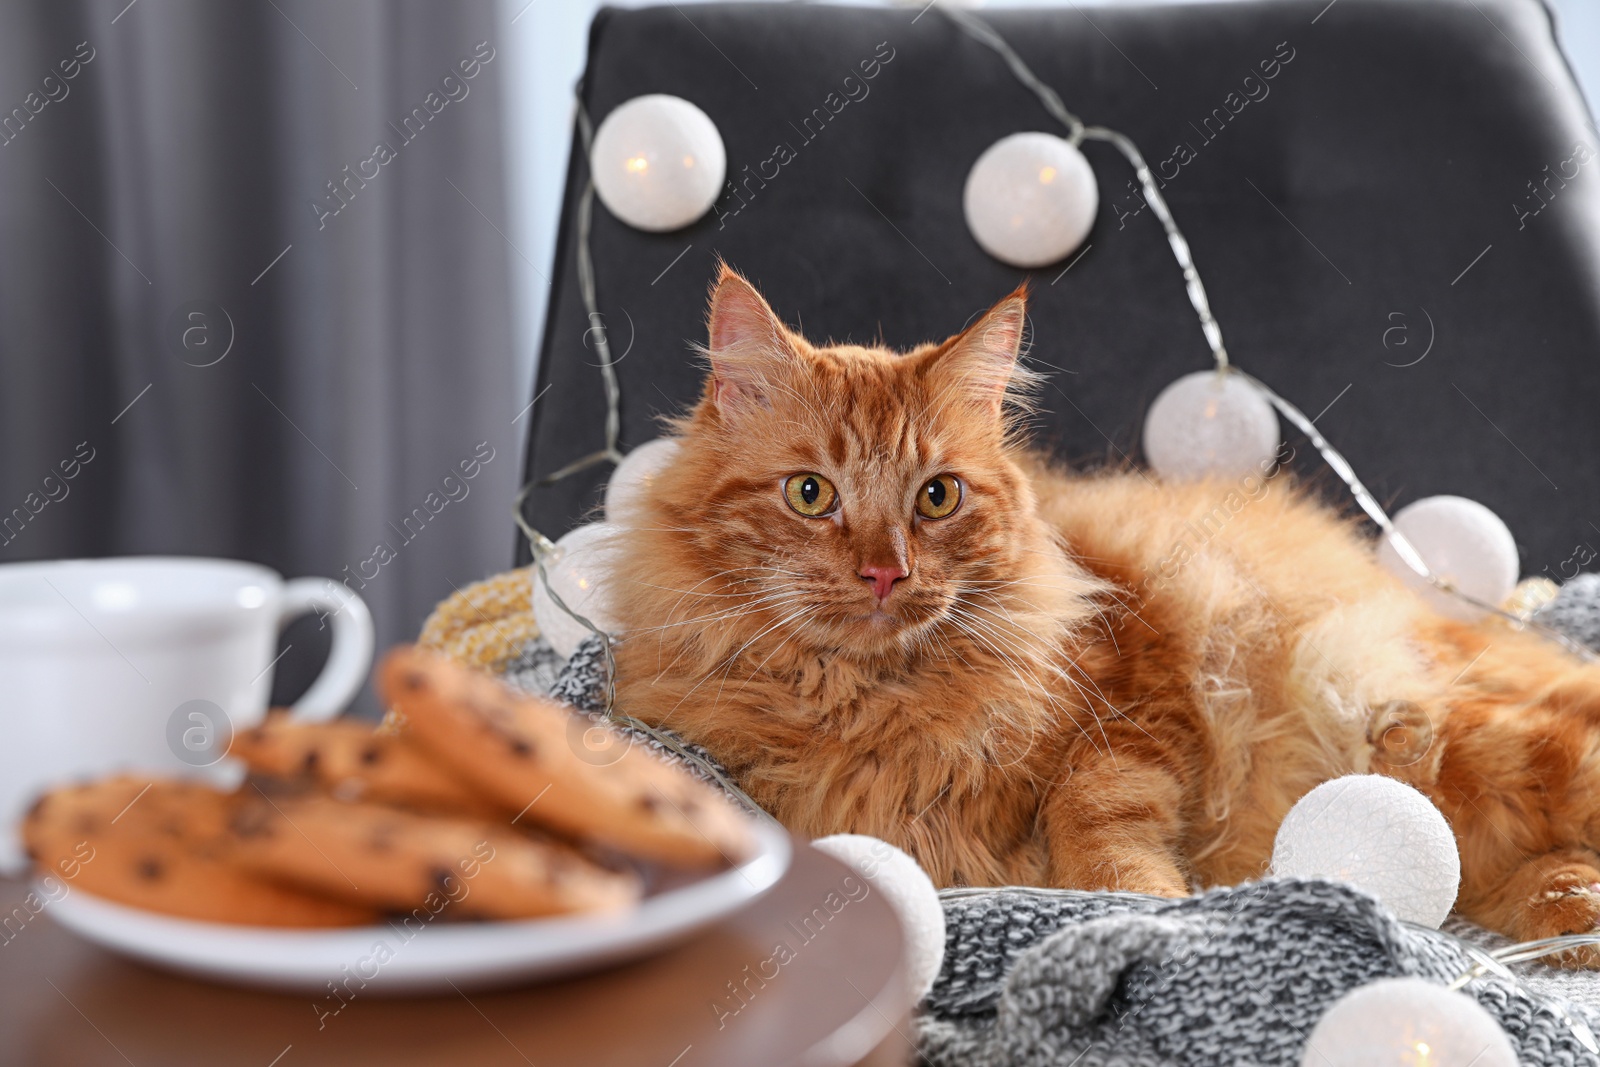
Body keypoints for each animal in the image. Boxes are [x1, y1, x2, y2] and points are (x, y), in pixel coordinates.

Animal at [604, 267, 1600, 959]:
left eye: (936, 497)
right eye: (811, 494)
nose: (887, 572)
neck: (878, 699)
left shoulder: (1132, 714)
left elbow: (1098, 822)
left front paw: (1144, 904)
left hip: (1433, 724)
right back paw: (1558, 907)